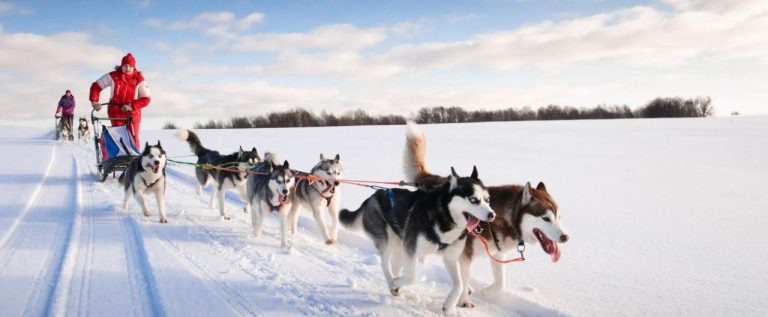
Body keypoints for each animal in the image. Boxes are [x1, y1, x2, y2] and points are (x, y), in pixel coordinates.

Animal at [340, 165, 496, 312]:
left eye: (488, 200)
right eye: (473, 200)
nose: (492, 215)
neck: (445, 217)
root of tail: (373, 196)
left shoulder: (450, 257)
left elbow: (459, 284)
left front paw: (449, 307)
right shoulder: (411, 249)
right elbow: (413, 276)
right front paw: (397, 282)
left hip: (401, 246)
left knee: (396, 265)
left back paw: (394, 285)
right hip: (387, 241)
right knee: (385, 264)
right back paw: (392, 282)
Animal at [402, 121, 568, 312]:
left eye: (559, 217)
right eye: (546, 219)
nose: (566, 237)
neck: (504, 217)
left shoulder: (497, 254)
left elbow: (500, 282)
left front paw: (486, 292)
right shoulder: (465, 255)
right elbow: (463, 280)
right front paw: (464, 300)